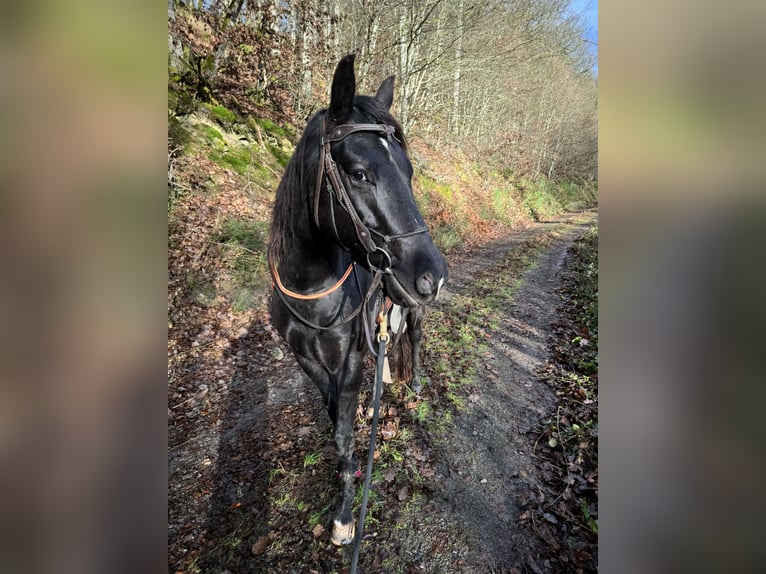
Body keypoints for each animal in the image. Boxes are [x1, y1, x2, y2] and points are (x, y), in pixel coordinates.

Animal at [270, 56, 450, 548]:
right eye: (358, 173)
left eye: (408, 173)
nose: (434, 275)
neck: (312, 290)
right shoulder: (308, 363)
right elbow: (337, 421)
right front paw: (343, 473)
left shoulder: (348, 362)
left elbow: (345, 432)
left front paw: (345, 513)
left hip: (414, 309)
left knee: (415, 340)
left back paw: (415, 384)